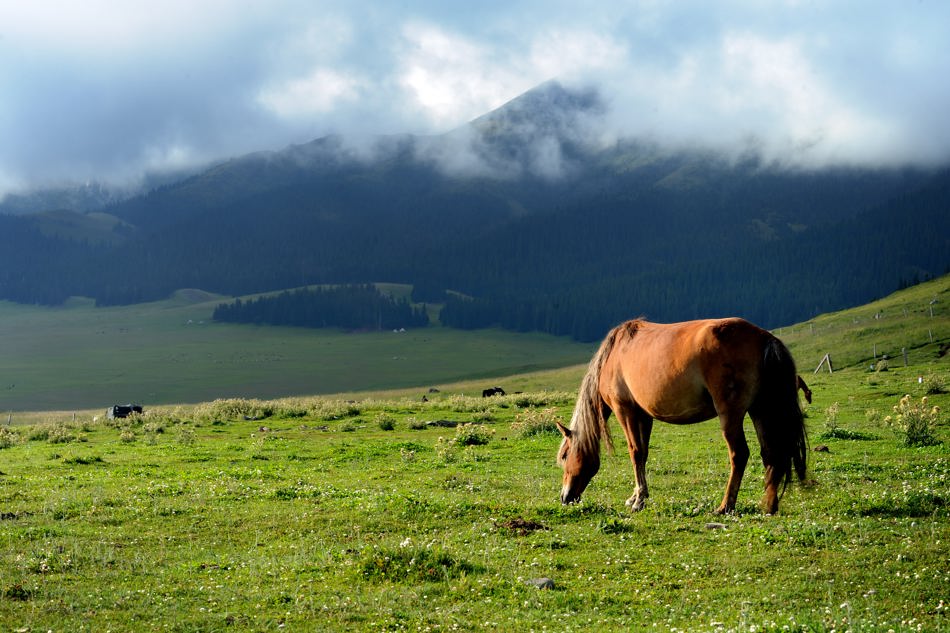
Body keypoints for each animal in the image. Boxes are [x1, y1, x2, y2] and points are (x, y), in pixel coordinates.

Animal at [556, 318, 812, 516]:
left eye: (565, 455)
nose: (565, 497)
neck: (614, 353)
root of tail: (765, 338)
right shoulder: (644, 415)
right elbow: (643, 454)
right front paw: (637, 496)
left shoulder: (625, 410)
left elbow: (635, 452)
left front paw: (638, 501)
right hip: (760, 410)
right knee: (771, 454)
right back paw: (769, 506)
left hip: (731, 415)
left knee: (740, 454)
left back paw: (725, 506)